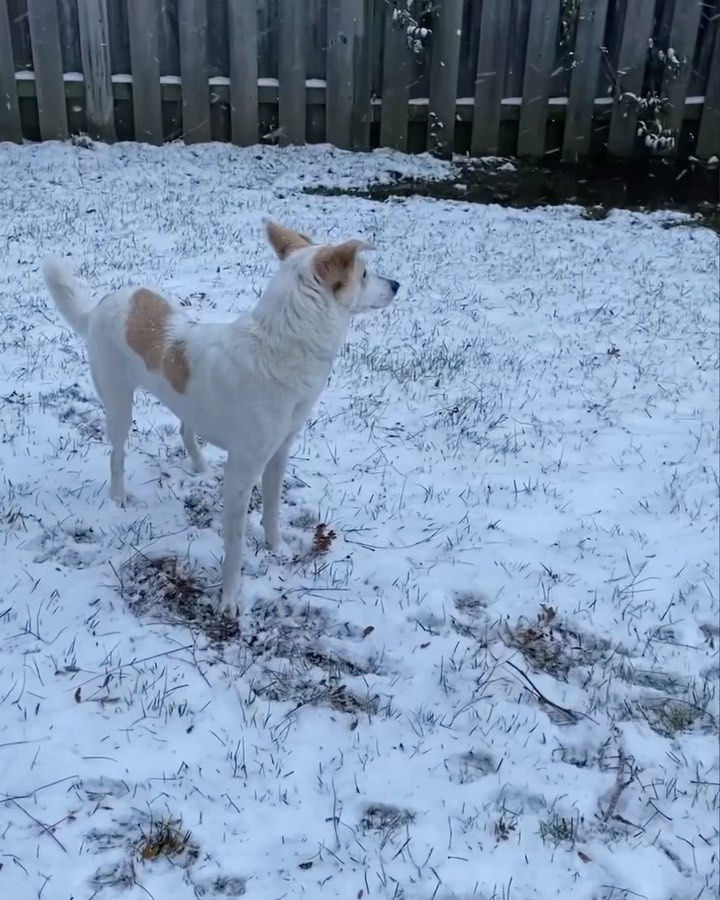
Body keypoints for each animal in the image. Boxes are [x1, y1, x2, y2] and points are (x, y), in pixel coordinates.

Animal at [40, 223, 400, 620]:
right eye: (364, 273)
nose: (397, 284)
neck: (281, 343)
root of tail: (100, 305)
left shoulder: (278, 453)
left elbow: (272, 510)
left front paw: (276, 548)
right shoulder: (241, 474)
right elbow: (235, 543)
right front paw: (229, 598)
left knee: (185, 428)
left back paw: (199, 467)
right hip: (119, 406)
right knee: (116, 454)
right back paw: (118, 497)